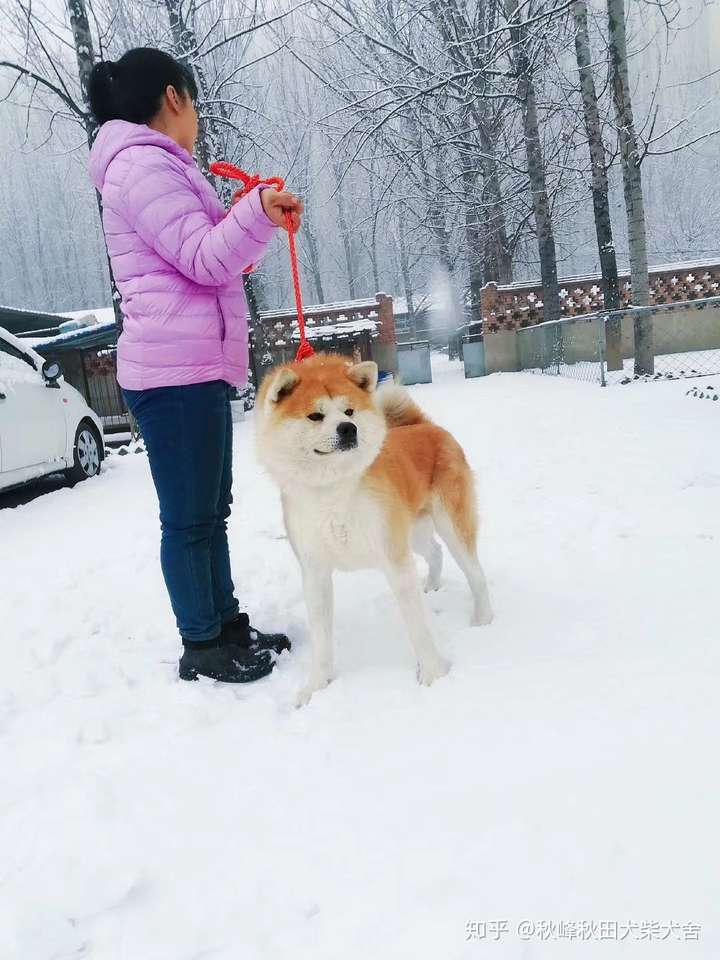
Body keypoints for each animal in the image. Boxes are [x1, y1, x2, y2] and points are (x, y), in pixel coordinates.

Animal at [255, 356, 496, 700]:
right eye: (315, 415)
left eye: (349, 412)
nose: (348, 429)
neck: (333, 490)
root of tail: (423, 425)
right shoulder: (315, 572)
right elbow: (321, 639)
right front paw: (317, 687)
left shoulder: (395, 560)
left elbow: (417, 627)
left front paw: (433, 675)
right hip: (414, 531)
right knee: (434, 552)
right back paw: (432, 584)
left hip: (450, 525)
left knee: (475, 573)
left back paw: (483, 618)